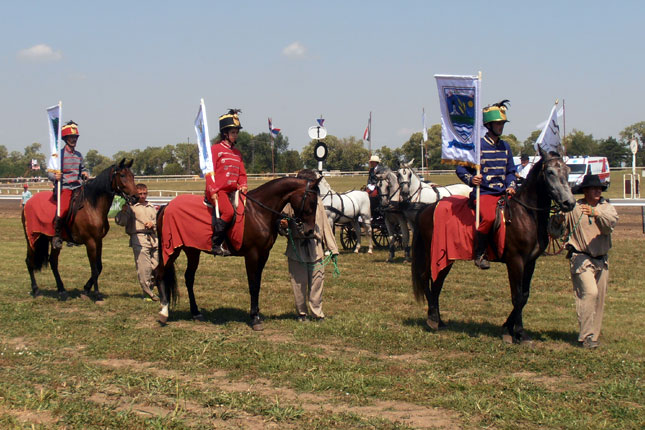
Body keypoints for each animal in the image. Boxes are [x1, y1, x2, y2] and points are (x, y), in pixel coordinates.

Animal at [22, 160, 137, 300]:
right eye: (122, 175)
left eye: (132, 176)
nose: (135, 197)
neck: (92, 206)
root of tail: (28, 203)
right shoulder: (90, 242)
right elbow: (94, 268)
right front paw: (96, 293)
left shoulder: (98, 241)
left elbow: (99, 267)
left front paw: (86, 289)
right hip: (32, 239)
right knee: (29, 261)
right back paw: (36, 290)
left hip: (52, 241)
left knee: (53, 262)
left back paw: (61, 290)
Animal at [153, 176, 320, 330]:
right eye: (312, 202)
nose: (309, 231)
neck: (258, 211)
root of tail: (166, 206)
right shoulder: (252, 255)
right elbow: (253, 285)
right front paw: (254, 318)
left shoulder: (263, 255)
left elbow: (258, 283)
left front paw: (256, 314)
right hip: (172, 250)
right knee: (159, 273)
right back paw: (163, 312)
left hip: (192, 251)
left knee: (189, 278)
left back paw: (195, 313)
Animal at [412, 149, 572, 344]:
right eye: (550, 172)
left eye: (567, 170)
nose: (569, 203)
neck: (525, 215)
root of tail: (428, 208)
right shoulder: (515, 261)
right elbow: (517, 296)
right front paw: (516, 332)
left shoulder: (530, 262)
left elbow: (524, 296)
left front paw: (512, 329)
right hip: (433, 253)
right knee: (426, 278)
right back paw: (433, 319)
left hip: (447, 258)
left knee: (437, 284)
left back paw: (439, 320)